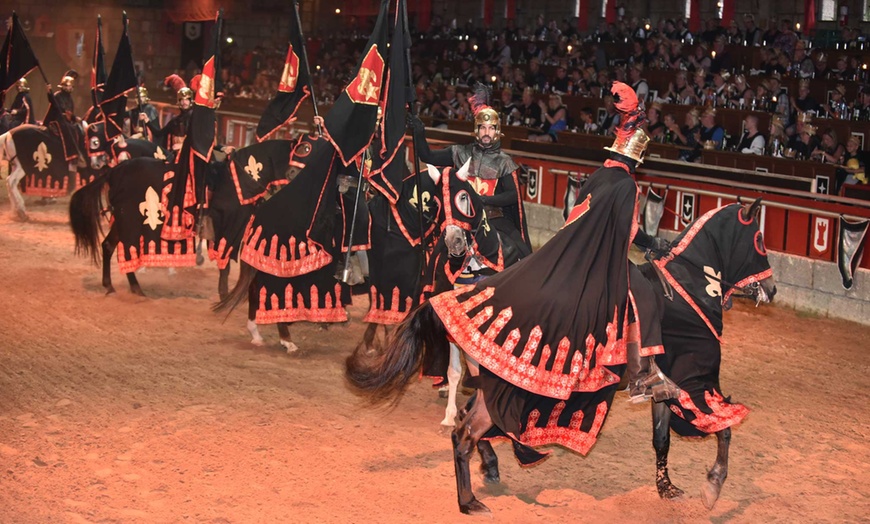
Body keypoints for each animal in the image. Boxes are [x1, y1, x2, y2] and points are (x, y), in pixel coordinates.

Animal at [346, 198, 776, 516]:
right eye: (758, 239)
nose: (771, 289)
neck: (690, 288)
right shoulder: (696, 385)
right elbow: (725, 429)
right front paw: (712, 487)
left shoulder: (668, 391)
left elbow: (661, 440)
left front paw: (667, 488)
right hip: (500, 391)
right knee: (464, 432)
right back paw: (469, 501)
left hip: (489, 387)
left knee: (467, 425)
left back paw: (487, 470)